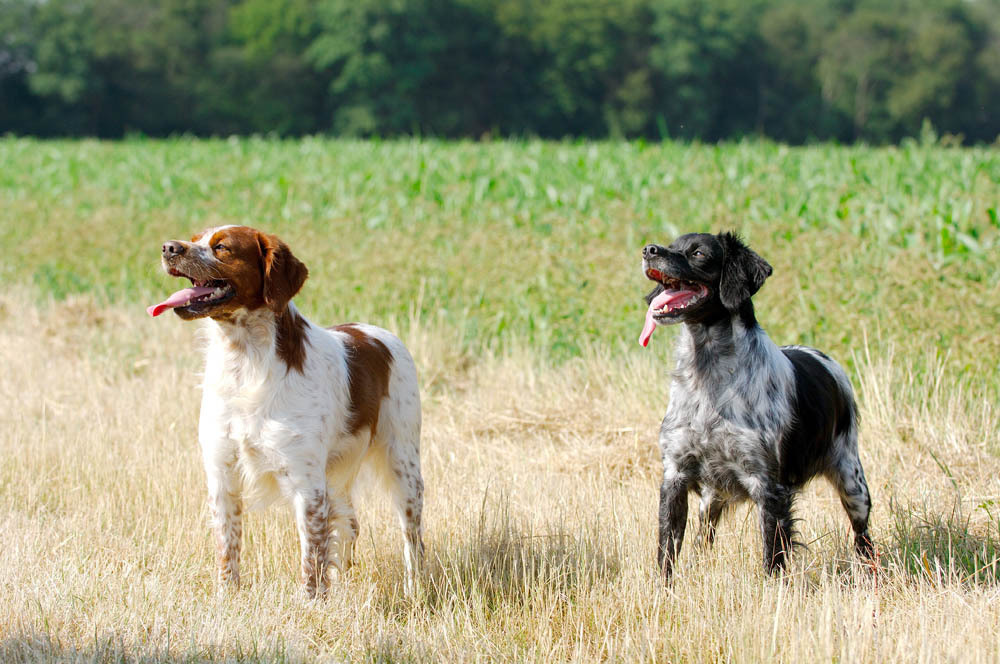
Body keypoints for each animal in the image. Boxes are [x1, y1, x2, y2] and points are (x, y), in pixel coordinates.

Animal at [150, 227, 424, 596]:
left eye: (222, 247)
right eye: (195, 239)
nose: (168, 248)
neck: (245, 363)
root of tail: (380, 334)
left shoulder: (307, 483)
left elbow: (312, 559)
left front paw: (312, 604)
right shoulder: (222, 474)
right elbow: (228, 548)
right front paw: (226, 596)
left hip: (404, 467)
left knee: (412, 541)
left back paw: (415, 591)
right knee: (350, 523)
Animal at [644, 233, 872, 580]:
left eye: (698, 253)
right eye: (672, 244)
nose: (649, 250)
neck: (708, 376)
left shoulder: (768, 485)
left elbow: (772, 556)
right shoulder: (675, 475)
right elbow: (667, 552)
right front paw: (663, 589)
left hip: (853, 482)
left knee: (863, 537)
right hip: (710, 498)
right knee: (704, 536)